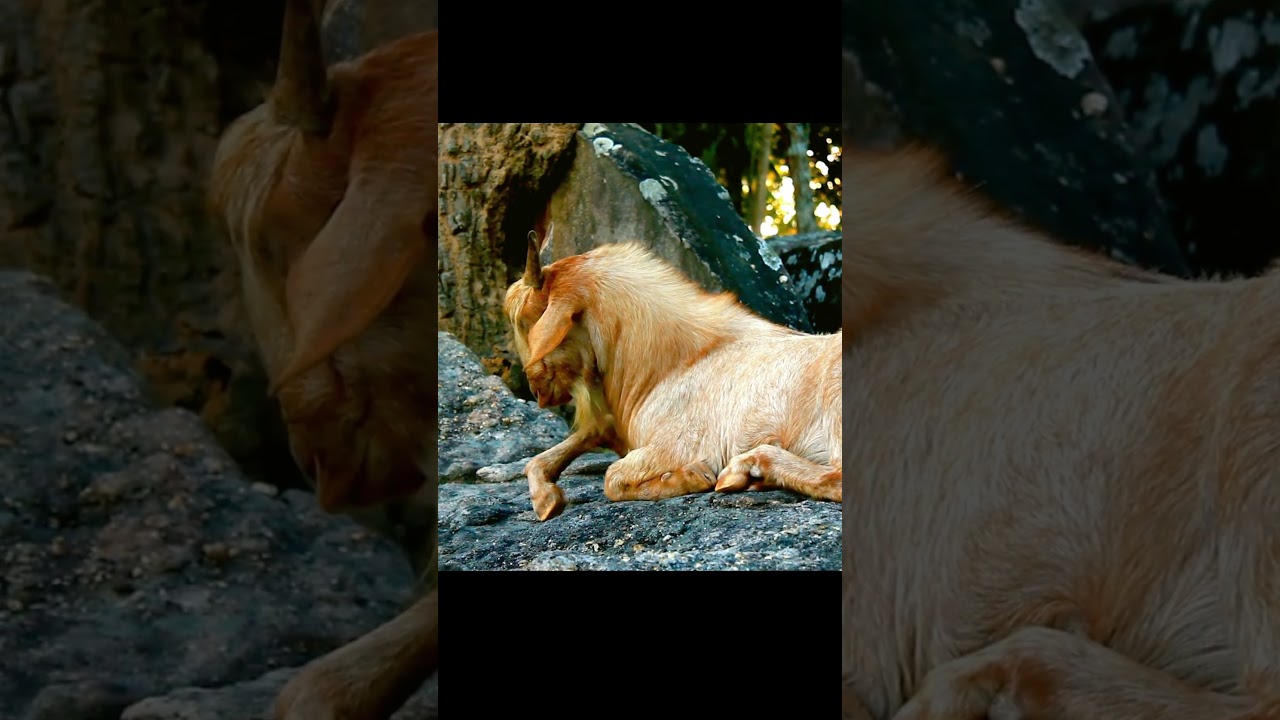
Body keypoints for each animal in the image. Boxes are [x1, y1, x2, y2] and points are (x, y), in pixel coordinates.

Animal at [503, 234, 842, 521]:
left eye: (526, 320)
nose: (536, 390)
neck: (671, 364)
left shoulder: (675, 446)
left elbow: (612, 478)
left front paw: (691, 477)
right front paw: (546, 498)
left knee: (835, 478)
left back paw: (747, 468)